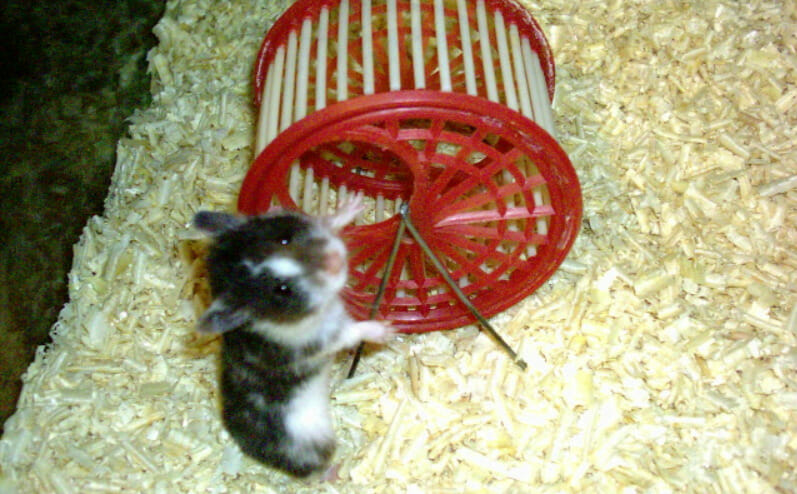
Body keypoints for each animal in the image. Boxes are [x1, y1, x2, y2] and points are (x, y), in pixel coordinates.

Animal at [193, 195, 392, 477]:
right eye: (282, 290)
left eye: (284, 239)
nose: (335, 260)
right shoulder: (322, 340)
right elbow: (354, 331)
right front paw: (388, 330)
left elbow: (326, 221)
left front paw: (353, 204)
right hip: (314, 444)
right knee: (312, 473)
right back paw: (337, 472)